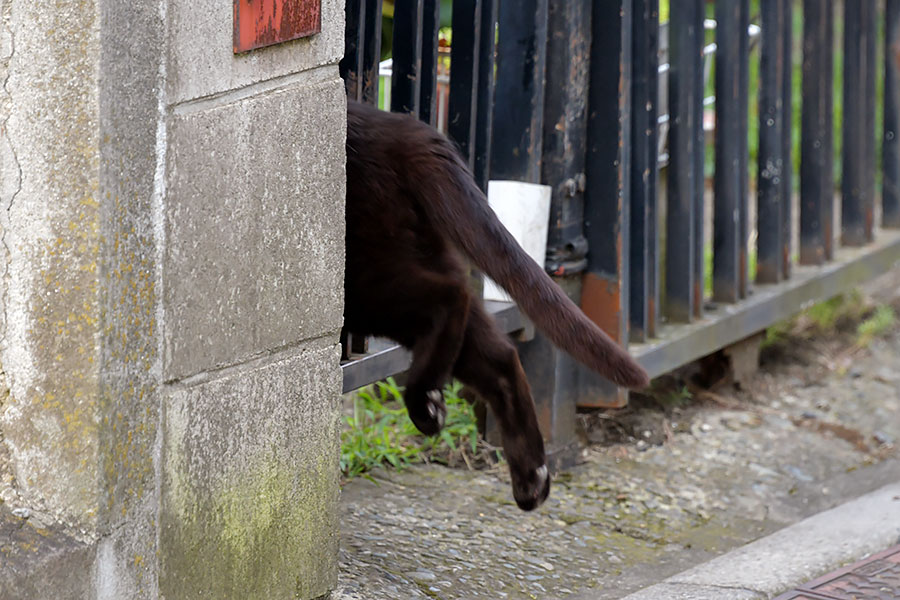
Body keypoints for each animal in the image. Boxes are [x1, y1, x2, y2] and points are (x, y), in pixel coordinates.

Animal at [344, 99, 648, 510]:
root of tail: (407, 130)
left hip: (362, 283)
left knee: (452, 297)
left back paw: (426, 404)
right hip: (414, 258)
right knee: (501, 356)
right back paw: (532, 480)